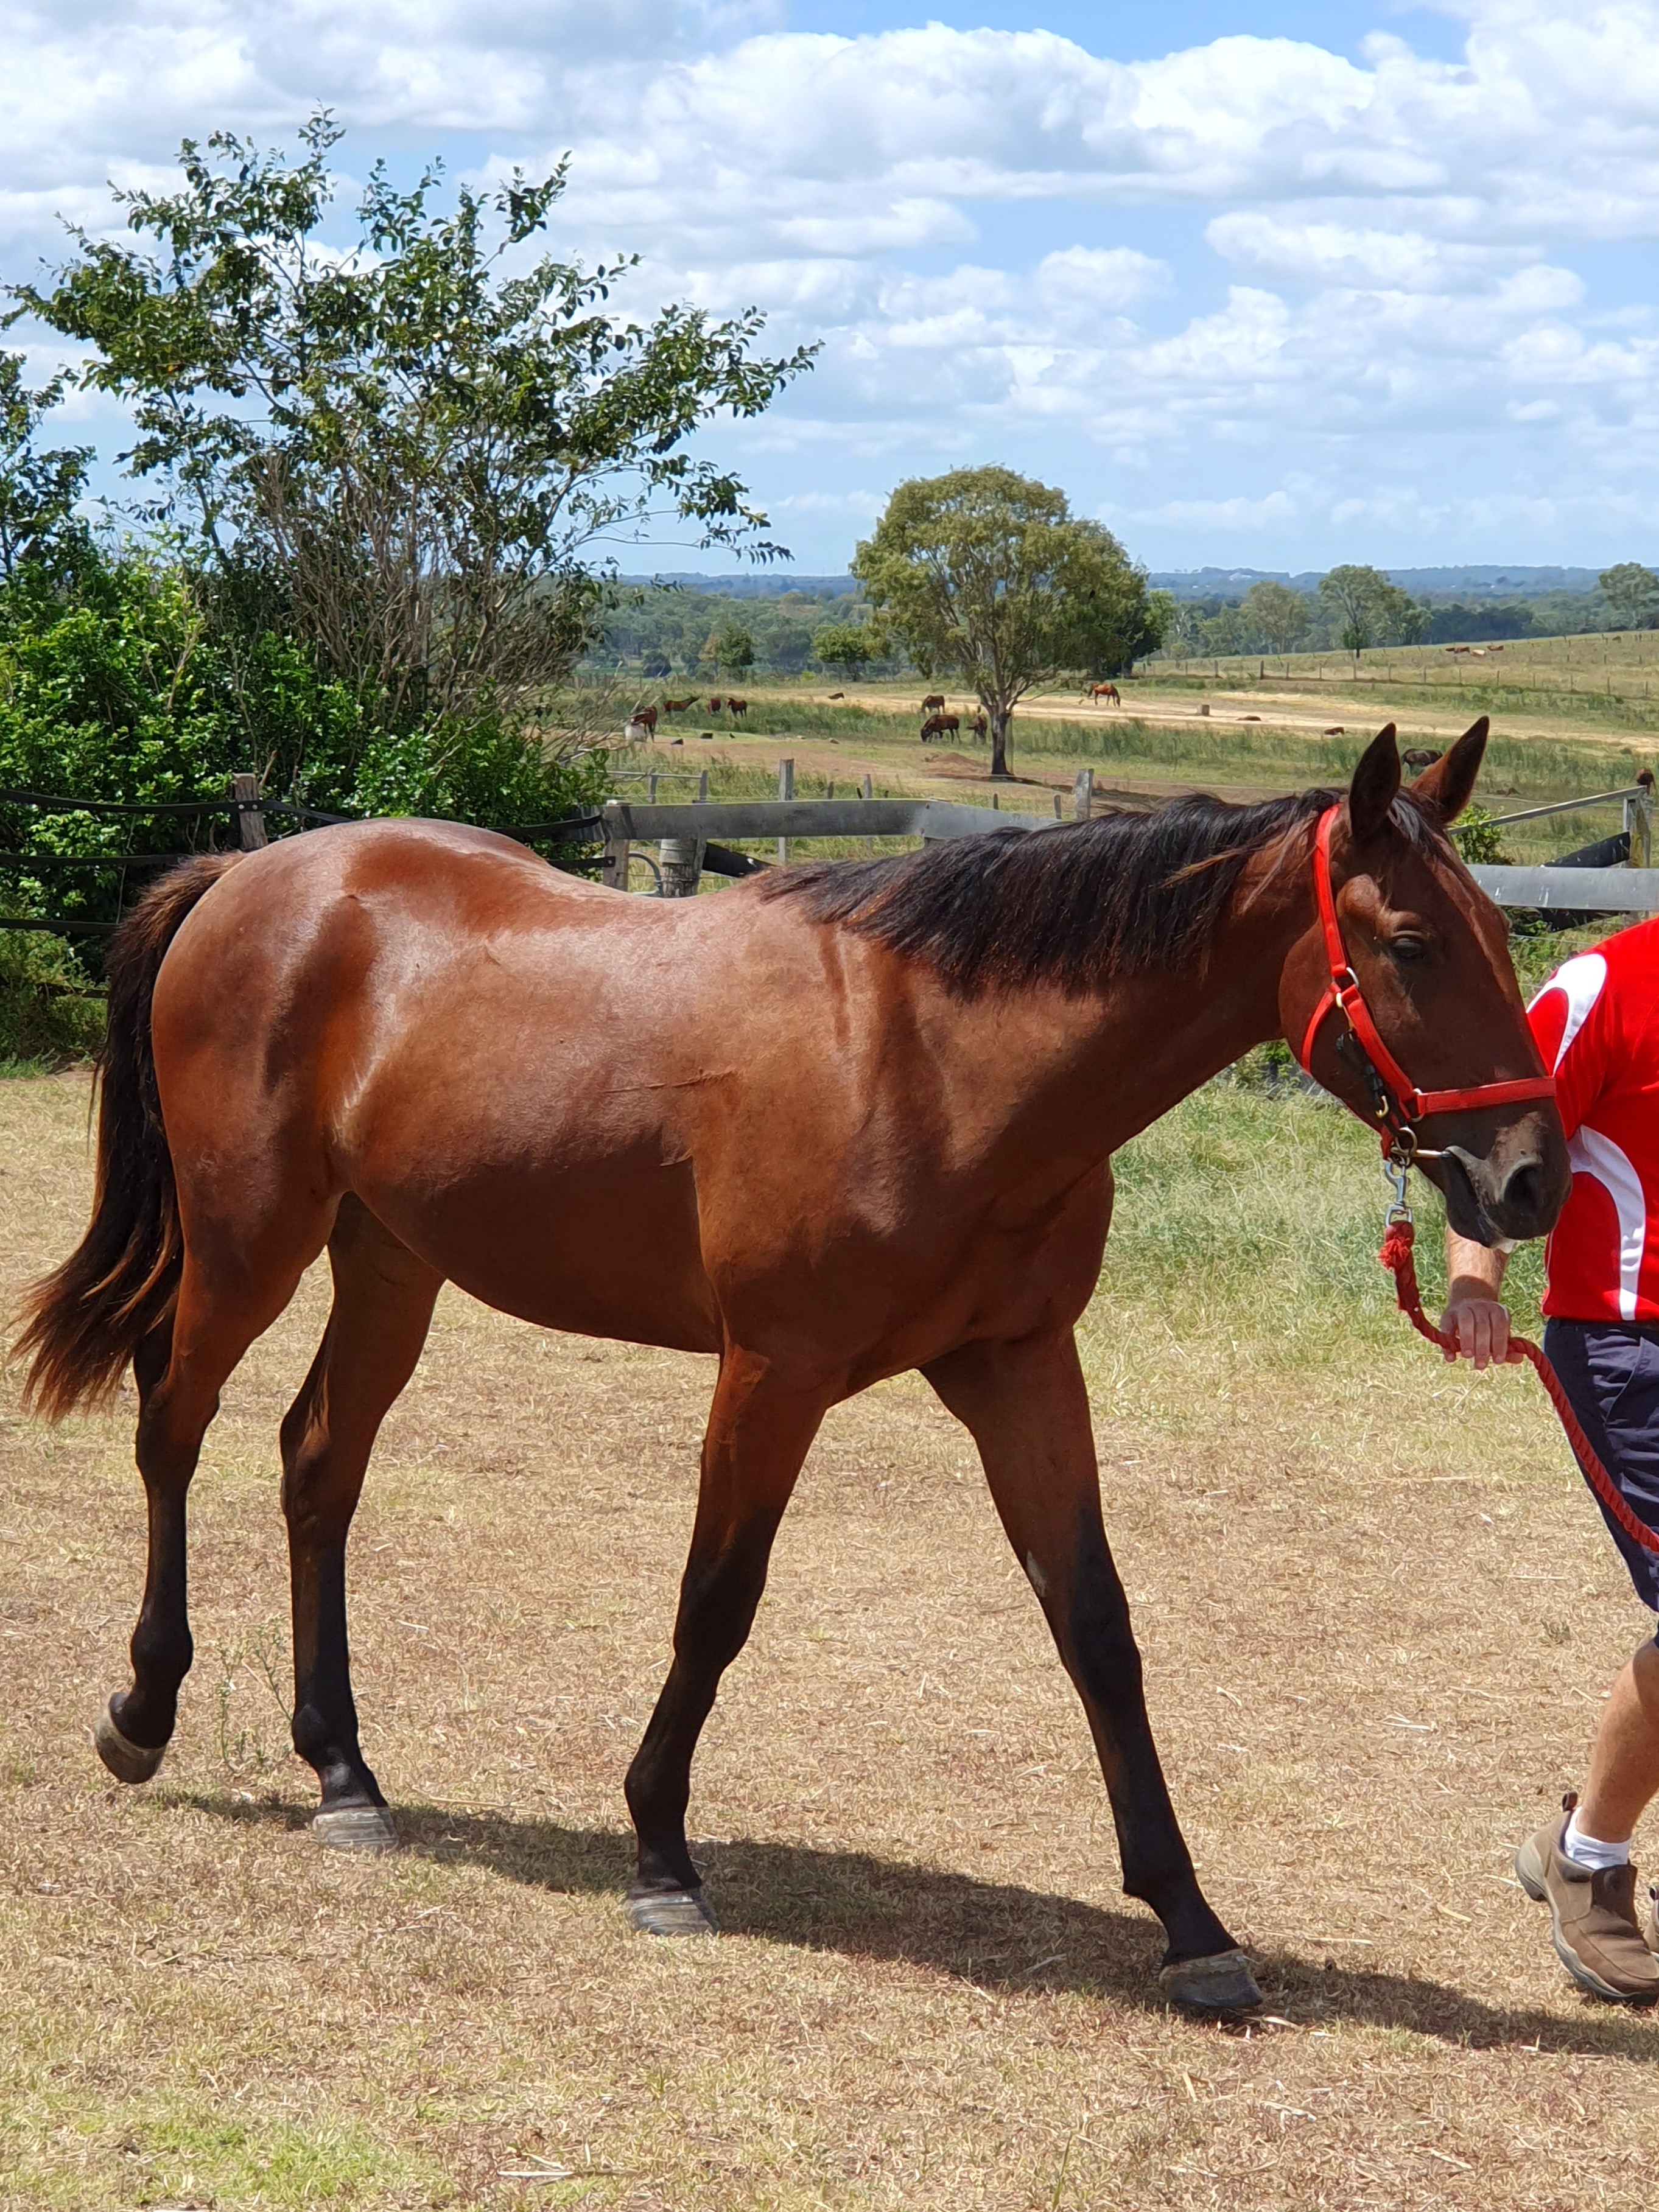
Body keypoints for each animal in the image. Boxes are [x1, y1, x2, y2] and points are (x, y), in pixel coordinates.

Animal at [18, 718, 1566, 2015]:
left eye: (1497, 927)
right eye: (1411, 941)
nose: (1531, 1178)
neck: (939, 1063)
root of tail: (248, 875)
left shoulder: (1020, 1367)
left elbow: (1096, 1626)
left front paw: (1190, 1924)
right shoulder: (773, 1368)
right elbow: (717, 1599)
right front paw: (659, 1850)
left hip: (392, 1260)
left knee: (318, 1464)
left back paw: (344, 1771)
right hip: (248, 1245)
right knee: (172, 1427)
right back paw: (144, 1710)